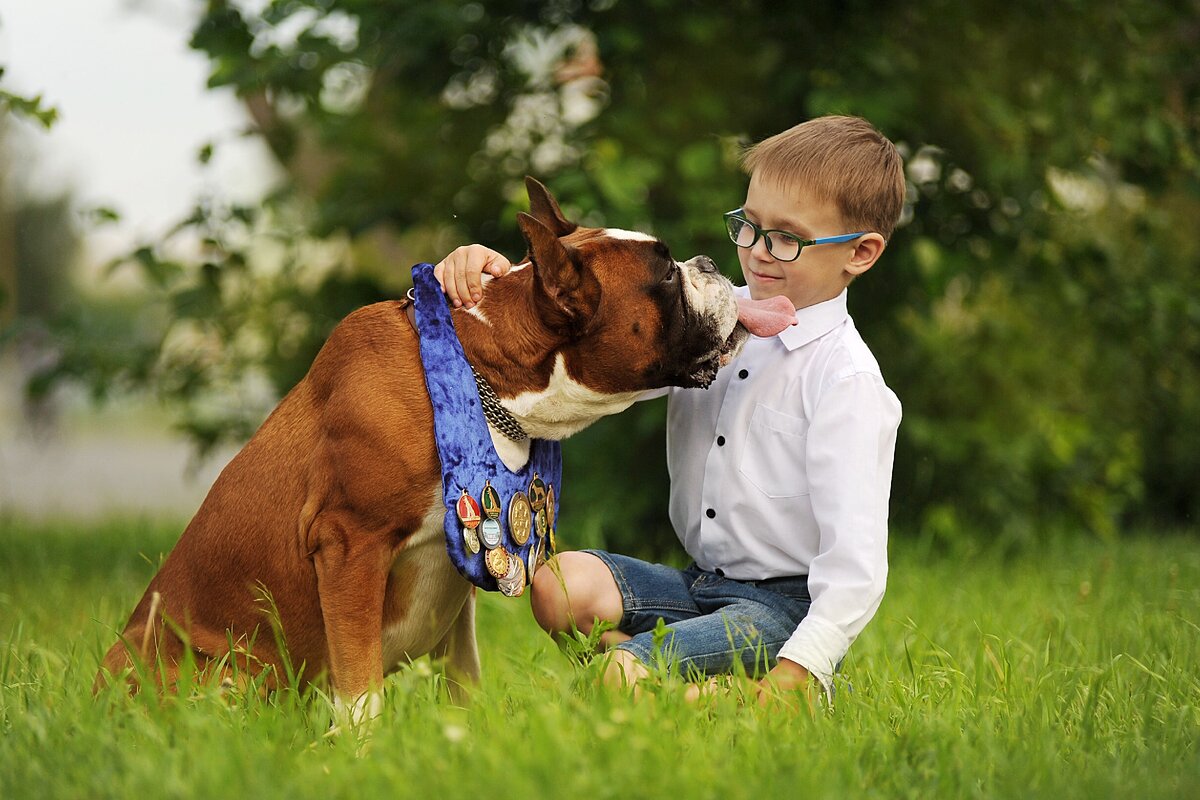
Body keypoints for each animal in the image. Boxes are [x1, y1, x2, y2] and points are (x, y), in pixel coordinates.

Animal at [96, 176, 796, 724]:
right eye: (665, 274)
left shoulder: (459, 569)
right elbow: (360, 684)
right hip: (218, 673)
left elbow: (464, 673)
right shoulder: (349, 547)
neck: (483, 373)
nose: (708, 261)